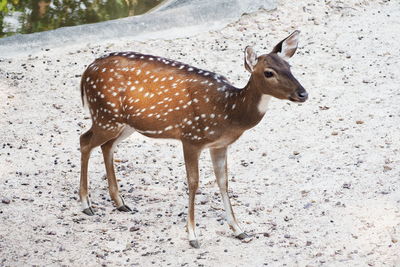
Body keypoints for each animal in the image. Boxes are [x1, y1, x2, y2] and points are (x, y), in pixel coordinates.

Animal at [79, 30, 310, 248]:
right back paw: (86, 204)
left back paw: (120, 202)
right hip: (105, 115)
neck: (229, 111)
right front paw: (193, 236)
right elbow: (193, 183)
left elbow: (223, 182)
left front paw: (239, 229)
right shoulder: (191, 137)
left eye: (289, 67)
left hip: (124, 123)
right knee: (84, 140)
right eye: (269, 72)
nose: (303, 94)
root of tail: (87, 71)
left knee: (106, 146)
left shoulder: (220, 145)